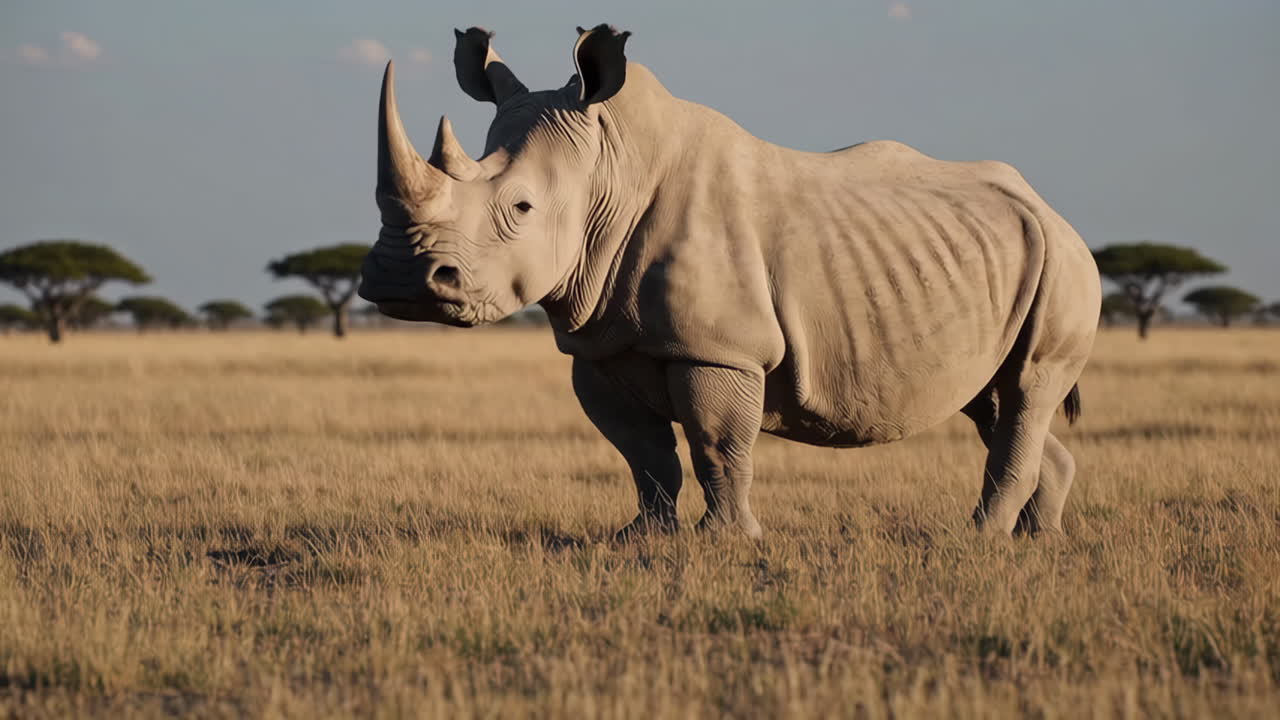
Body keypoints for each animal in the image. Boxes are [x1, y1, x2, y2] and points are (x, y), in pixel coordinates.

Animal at [359, 24, 1102, 540]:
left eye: (521, 209)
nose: (401, 282)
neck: (611, 168)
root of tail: (1050, 210)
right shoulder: (599, 342)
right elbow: (643, 452)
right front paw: (643, 539)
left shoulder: (721, 347)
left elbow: (717, 442)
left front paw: (726, 541)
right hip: (997, 263)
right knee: (990, 397)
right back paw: (1037, 538)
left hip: (1066, 264)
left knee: (1027, 387)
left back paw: (979, 539)